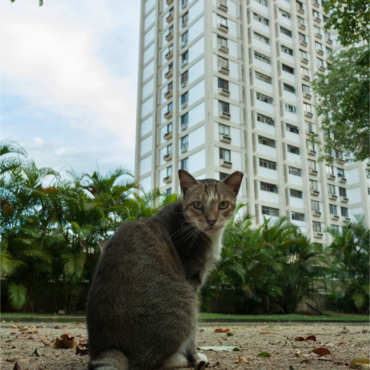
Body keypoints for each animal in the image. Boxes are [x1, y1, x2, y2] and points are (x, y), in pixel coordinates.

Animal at [86, 171, 243, 370]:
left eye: (223, 204)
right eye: (197, 204)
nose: (212, 221)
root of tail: (110, 350)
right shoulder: (192, 280)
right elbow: (193, 335)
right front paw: (195, 358)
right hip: (186, 304)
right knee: (148, 363)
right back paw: (179, 359)